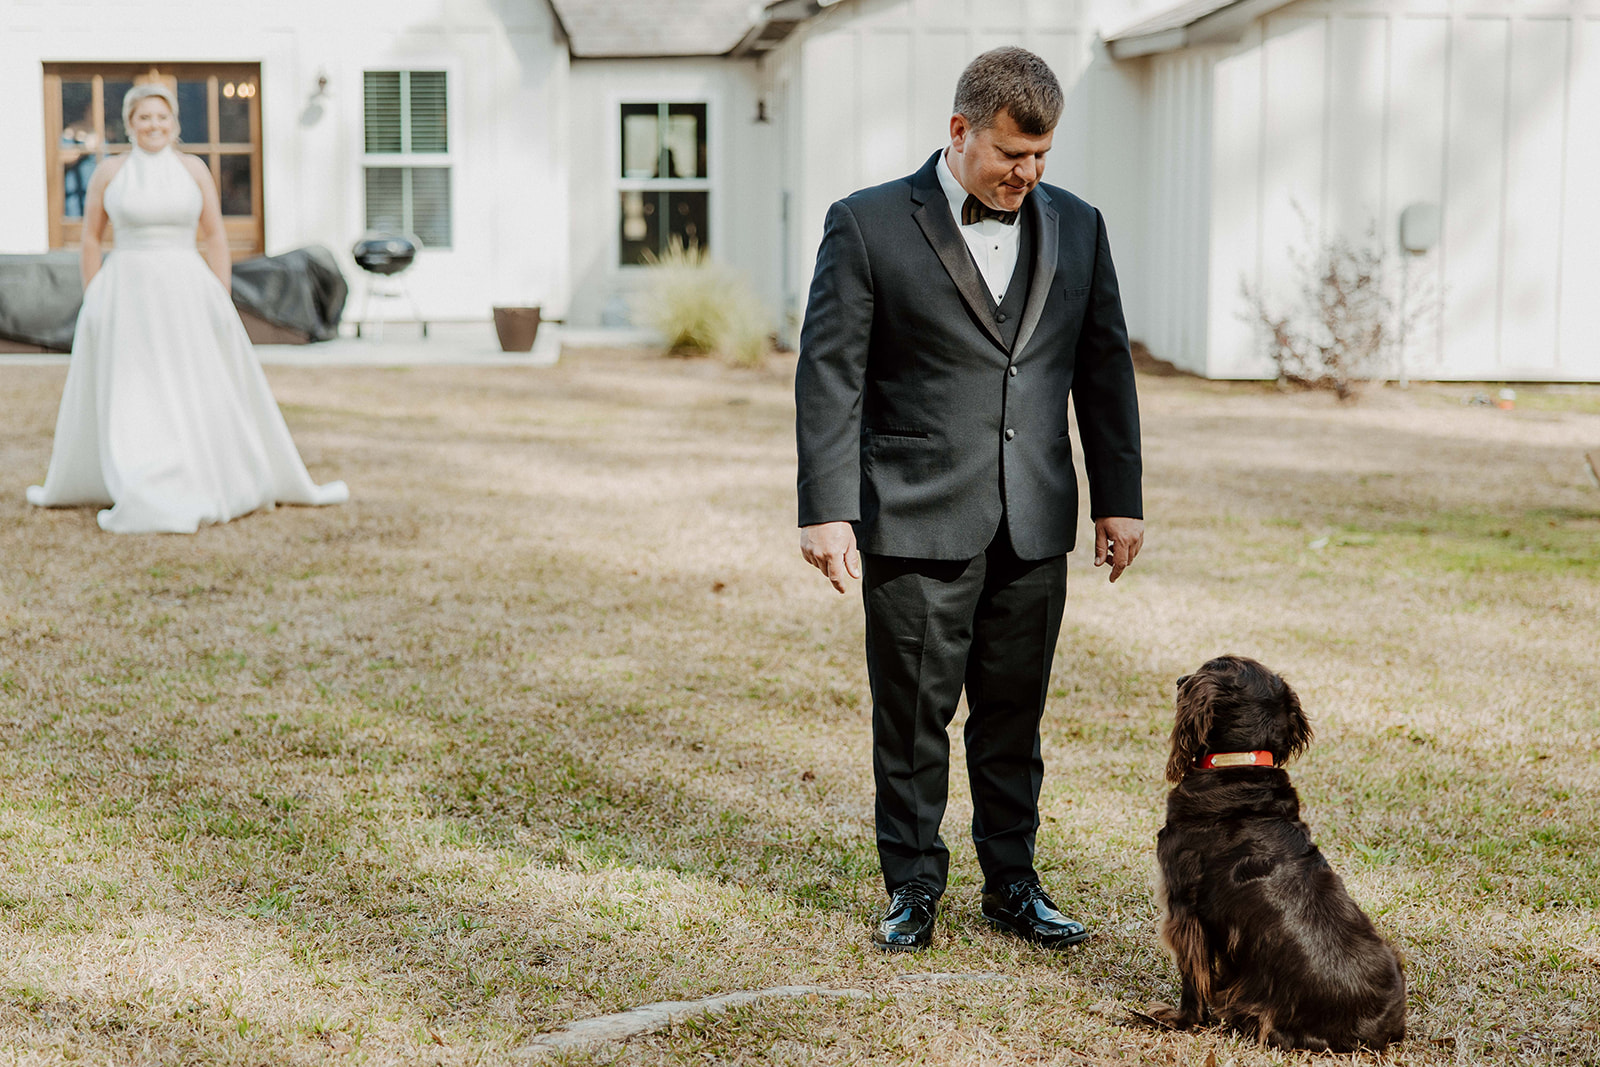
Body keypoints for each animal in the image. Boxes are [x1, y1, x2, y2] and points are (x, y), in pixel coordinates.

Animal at [1152, 655, 1401, 1055]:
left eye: (1210, 666)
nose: (1178, 679)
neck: (1238, 767)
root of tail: (1380, 1033)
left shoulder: (1183, 909)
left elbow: (1193, 976)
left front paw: (1178, 1020)